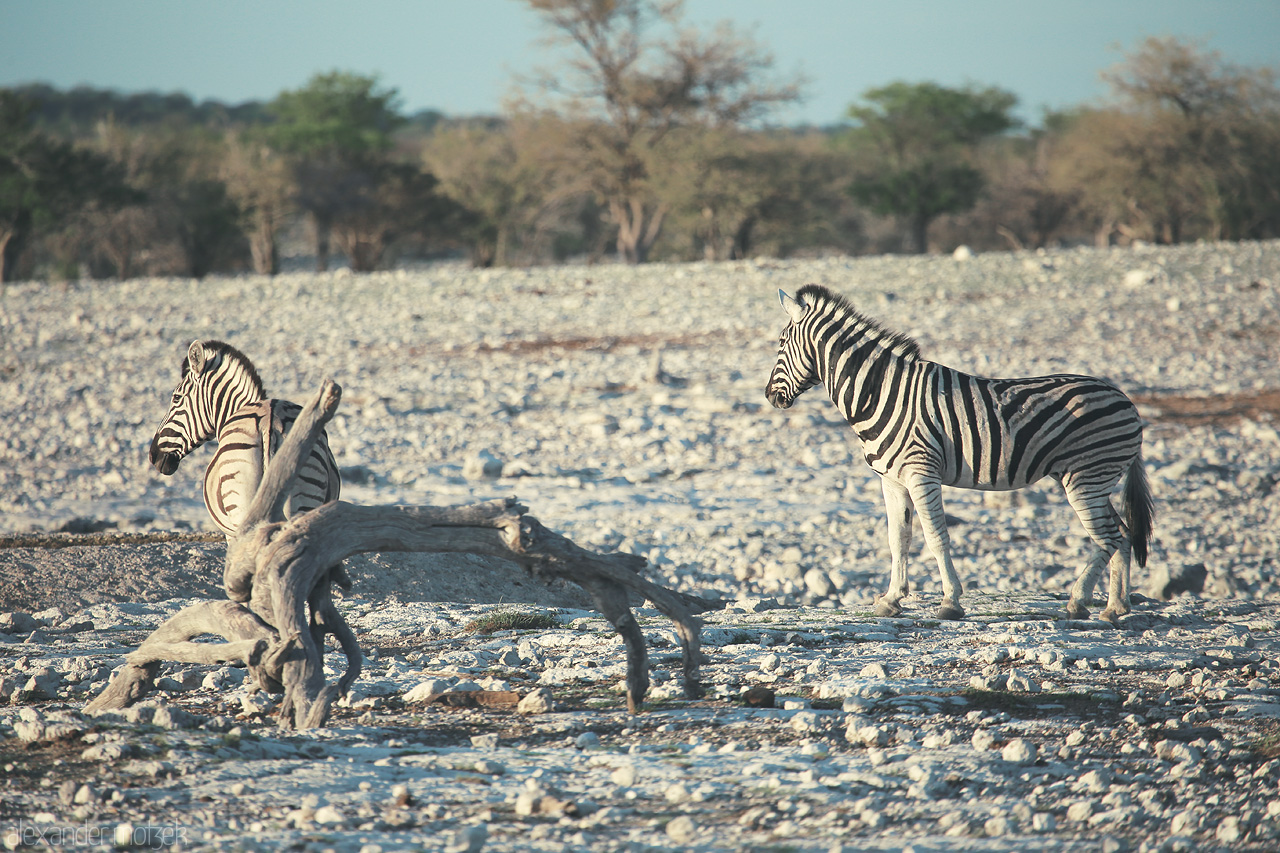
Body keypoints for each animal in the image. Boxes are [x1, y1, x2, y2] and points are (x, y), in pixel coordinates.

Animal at [762, 281, 1157, 622]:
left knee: (1109, 537)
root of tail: (1125, 399)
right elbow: (898, 539)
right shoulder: (891, 480)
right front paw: (891, 600)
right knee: (1122, 535)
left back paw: (1080, 602)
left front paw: (950, 602)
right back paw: (1115, 607)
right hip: (1096, 478)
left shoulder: (922, 473)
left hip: (1086, 477)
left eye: (781, 343)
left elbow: (936, 537)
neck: (881, 393)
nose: (769, 396)